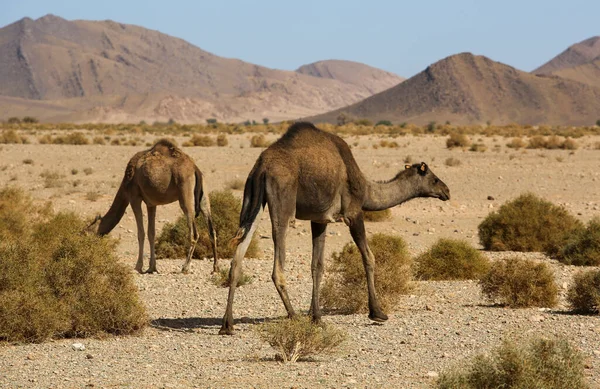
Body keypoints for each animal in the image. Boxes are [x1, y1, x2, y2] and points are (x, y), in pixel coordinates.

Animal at [91, 139, 218, 272]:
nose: (90, 244)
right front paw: (152, 267)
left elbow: (141, 233)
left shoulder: (134, 197)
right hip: (204, 196)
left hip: (185, 193)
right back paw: (215, 268)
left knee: (194, 233)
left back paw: (185, 267)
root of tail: (195, 169)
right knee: (212, 231)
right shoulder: (151, 204)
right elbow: (151, 233)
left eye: (88, 230)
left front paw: (138, 266)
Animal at [220, 121, 450, 334]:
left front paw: (317, 316)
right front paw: (377, 312)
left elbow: (317, 266)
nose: (446, 191)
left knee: (237, 258)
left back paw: (227, 324)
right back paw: (294, 316)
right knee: (277, 267)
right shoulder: (353, 213)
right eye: (434, 179)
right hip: (282, 202)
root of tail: (262, 167)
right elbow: (369, 257)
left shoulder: (319, 219)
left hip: (252, 199)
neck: (367, 190)